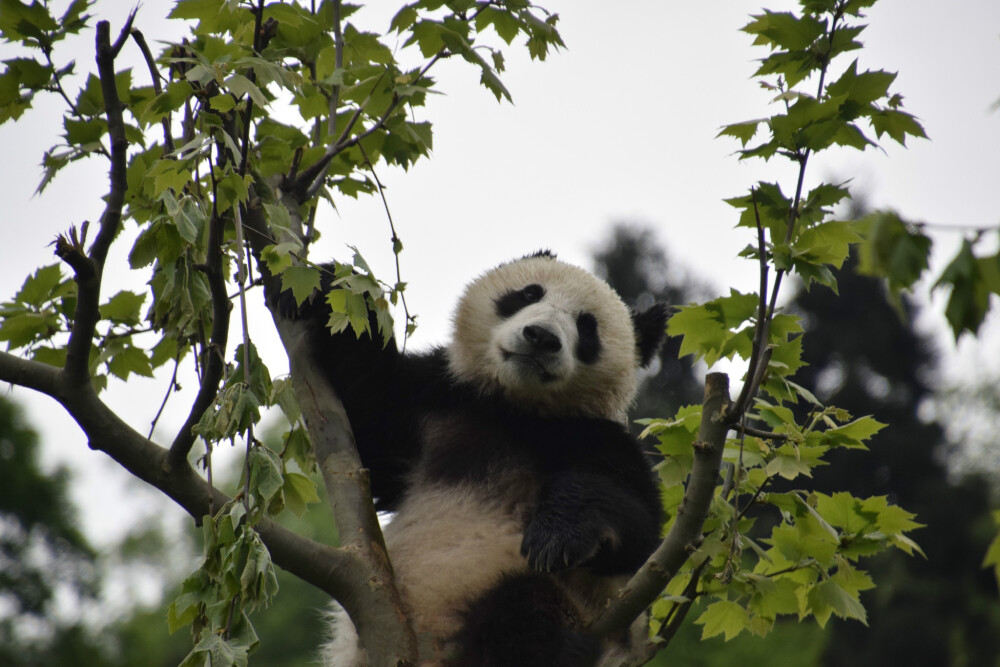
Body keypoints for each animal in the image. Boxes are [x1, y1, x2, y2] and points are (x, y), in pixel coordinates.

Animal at [286, 252, 668, 667]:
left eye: (587, 327)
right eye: (528, 294)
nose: (541, 337)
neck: (514, 408)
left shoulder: (597, 437)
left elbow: (639, 527)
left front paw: (557, 534)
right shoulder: (437, 403)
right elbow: (369, 407)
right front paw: (322, 286)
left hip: (558, 603)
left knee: (525, 613)